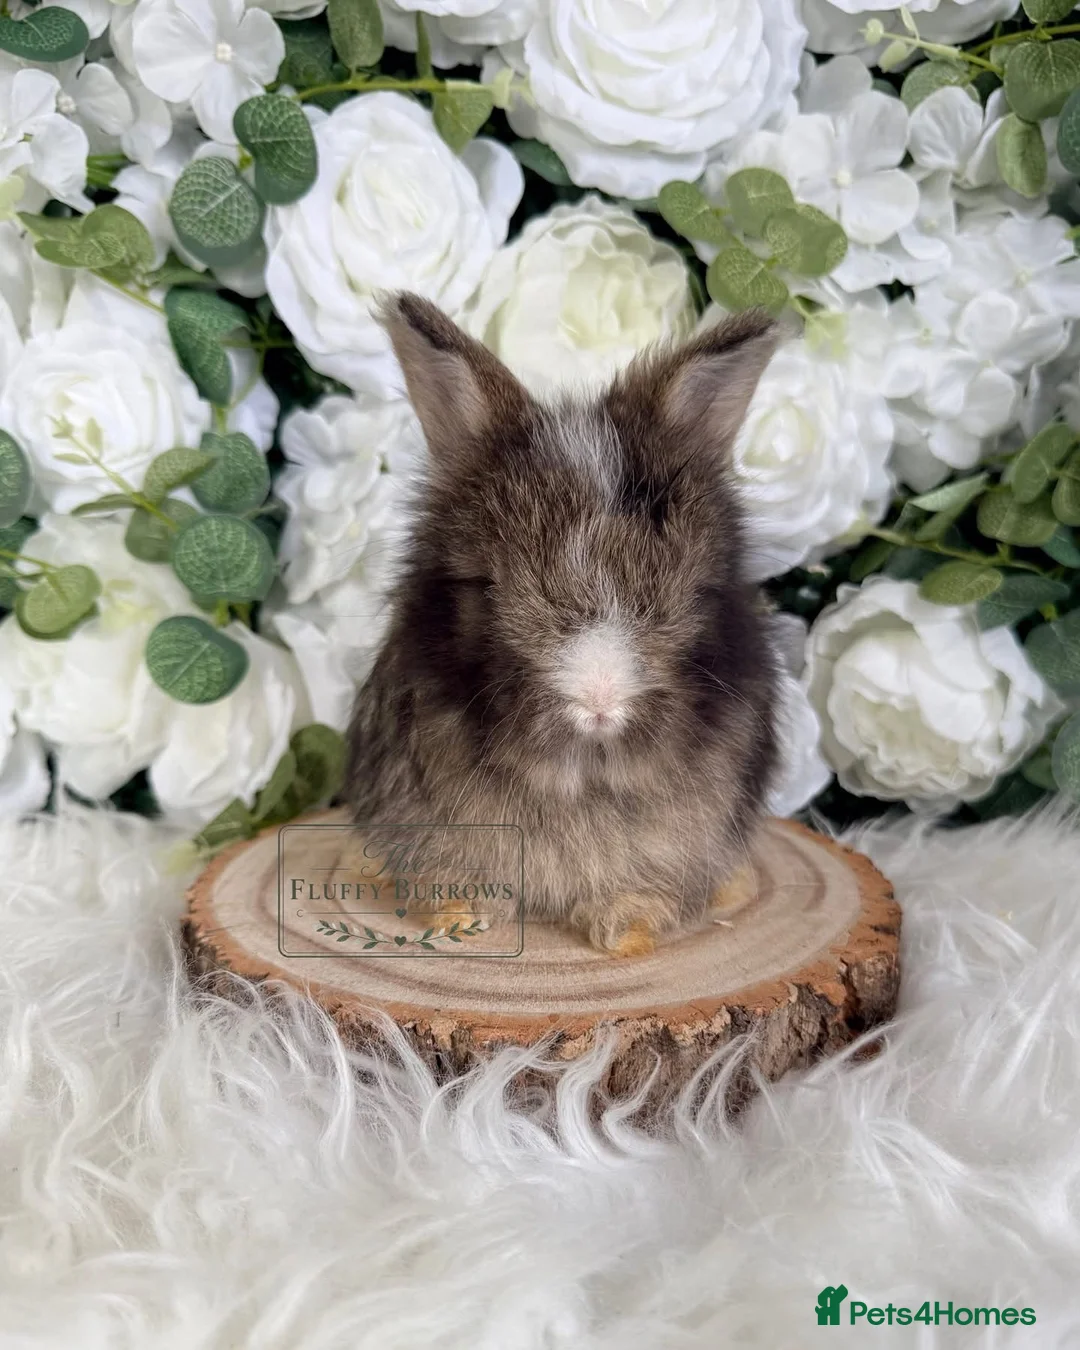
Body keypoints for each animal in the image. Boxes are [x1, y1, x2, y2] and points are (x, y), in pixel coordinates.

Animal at [343, 292, 781, 957]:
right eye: (486, 585)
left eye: (692, 590)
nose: (599, 699)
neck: (582, 781)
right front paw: (457, 919)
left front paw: (627, 930)